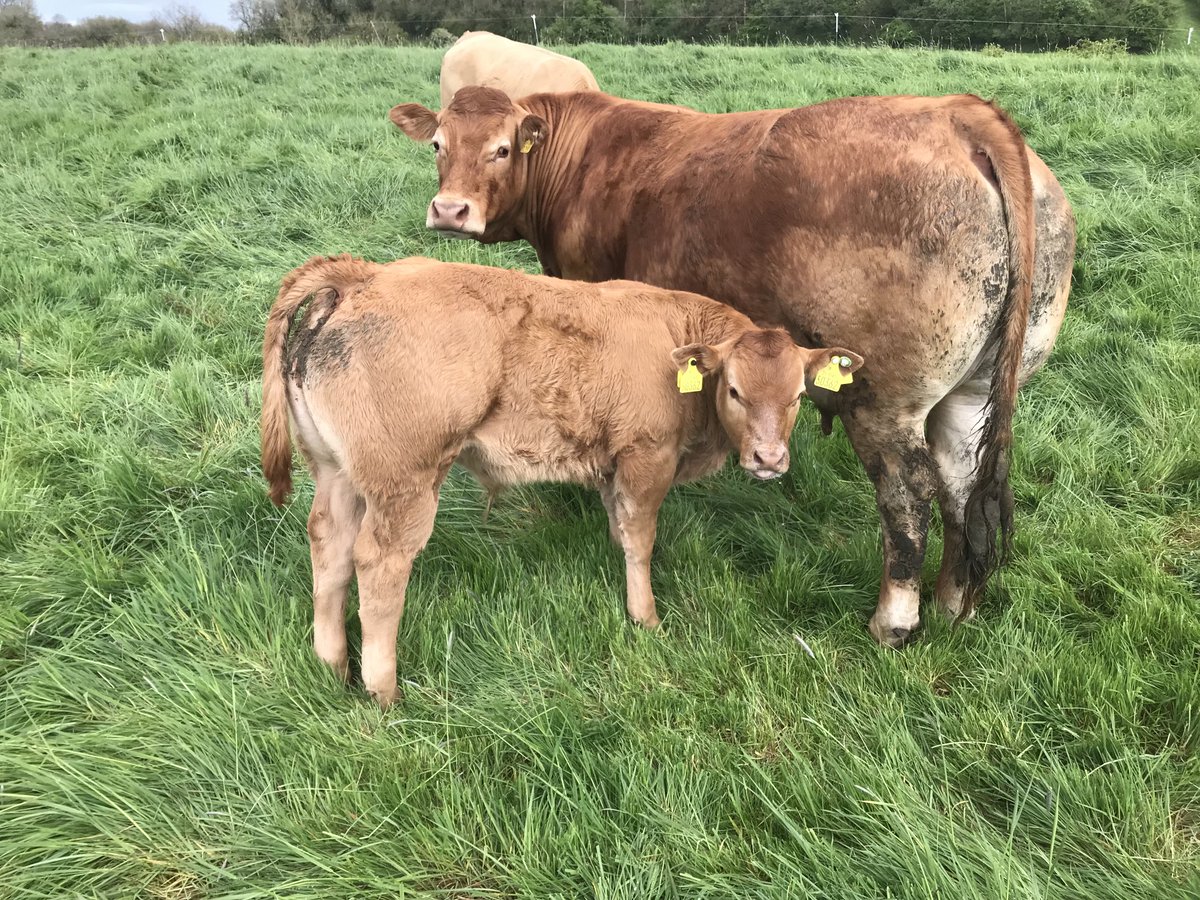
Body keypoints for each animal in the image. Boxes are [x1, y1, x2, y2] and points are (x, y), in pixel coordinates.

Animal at [261, 255, 863, 706]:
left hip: (336, 472)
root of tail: (364, 276)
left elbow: (620, 528)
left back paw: (332, 664)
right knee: (379, 565)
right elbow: (641, 539)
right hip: (404, 483)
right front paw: (646, 618)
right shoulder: (648, 457)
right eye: (735, 390)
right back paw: (383, 689)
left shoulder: (610, 466)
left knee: (330, 546)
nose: (769, 458)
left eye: (798, 395)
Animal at [388, 87, 1076, 647]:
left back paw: (895, 622)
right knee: (962, 488)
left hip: (884, 402)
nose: (449, 210)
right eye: (439, 145)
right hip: (970, 395)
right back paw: (954, 605)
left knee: (909, 496)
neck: (583, 158)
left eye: (502, 149)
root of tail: (960, 112)